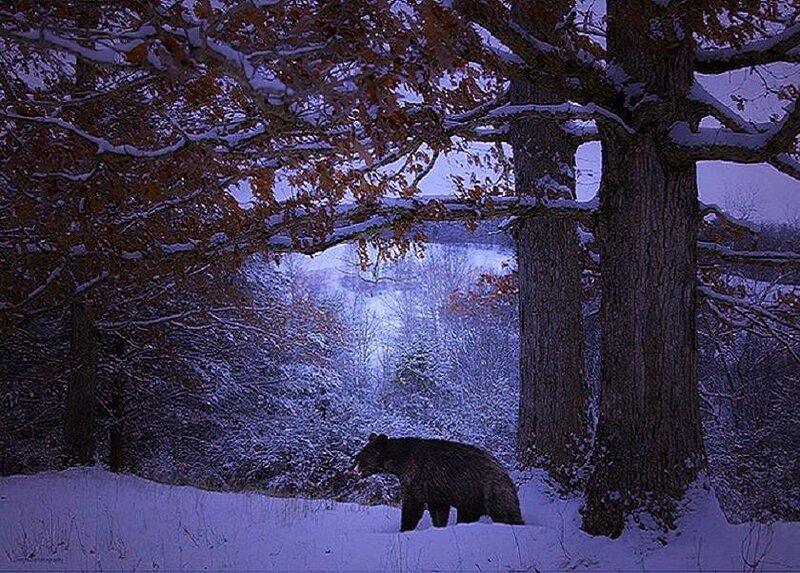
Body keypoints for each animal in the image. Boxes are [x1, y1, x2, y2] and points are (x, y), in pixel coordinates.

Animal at [351, 433, 524, 531]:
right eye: (361, 452)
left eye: (366, 454)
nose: (353, 466)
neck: (399, 463)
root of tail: (504, 471)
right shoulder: (436, 490)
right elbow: (438, 512)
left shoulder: (416, 477)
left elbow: (412, 507)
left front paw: (405, 528)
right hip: (471, 499)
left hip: (490, 489)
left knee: (505, 512)